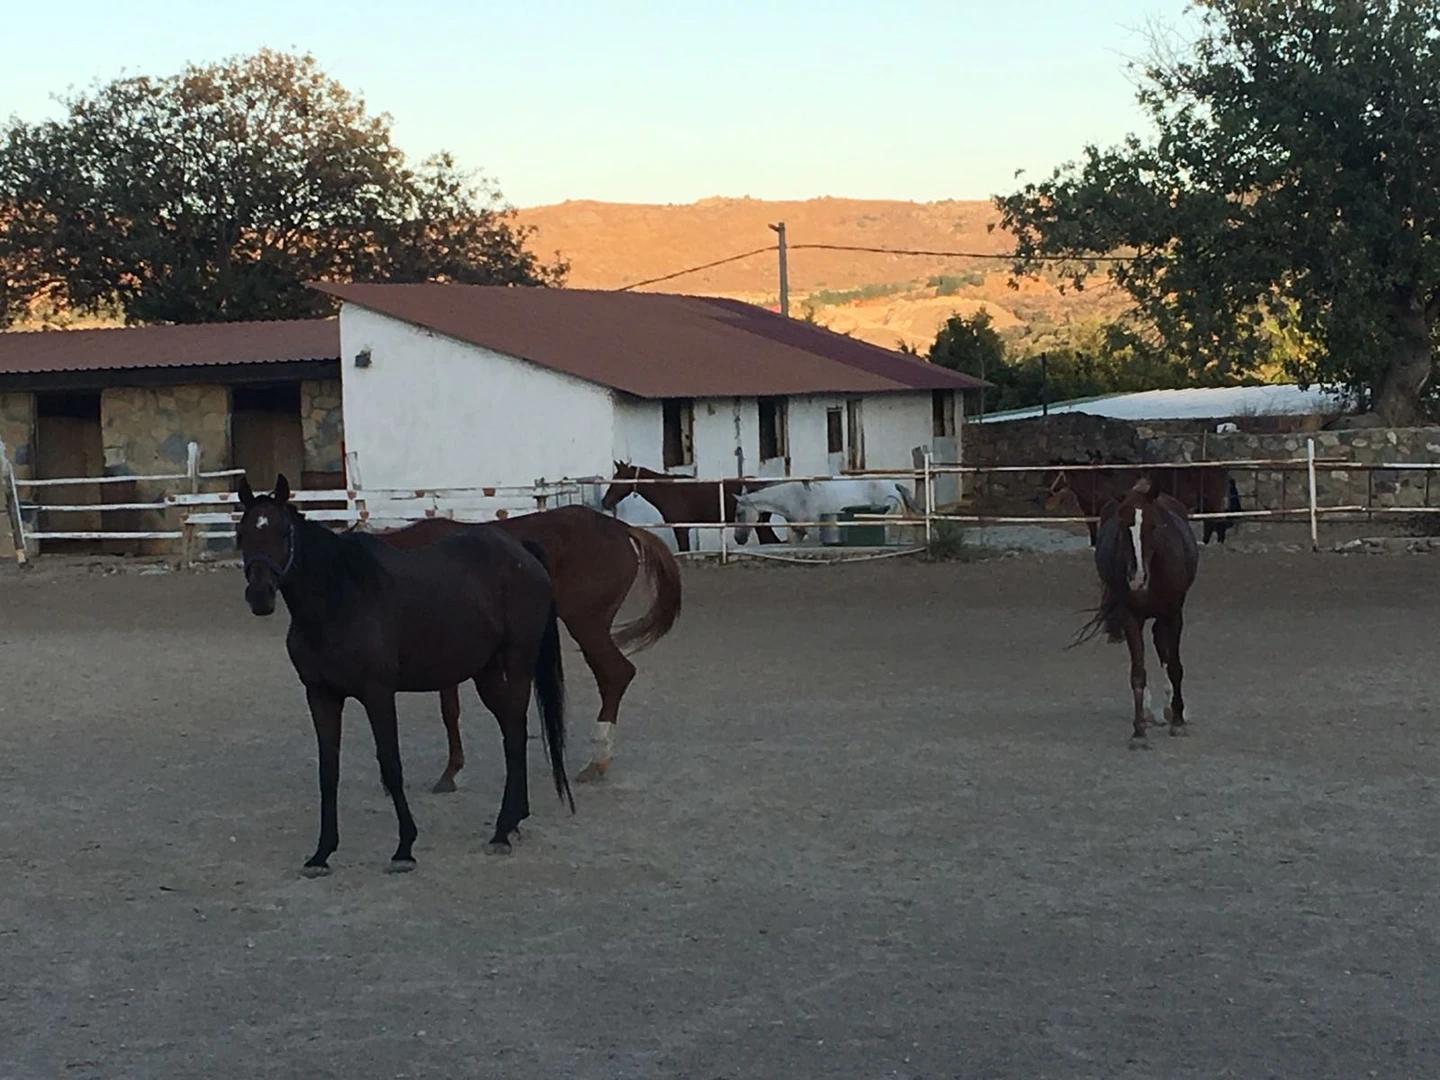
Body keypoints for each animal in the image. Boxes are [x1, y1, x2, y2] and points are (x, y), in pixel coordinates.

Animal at [235, 475, 572, 874]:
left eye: (283, 532)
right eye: (242, 532)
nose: (260, 596)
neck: (339, 600)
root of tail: (523, 554)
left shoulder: (378, 693)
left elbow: (391, 765)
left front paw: (404, 848)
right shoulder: (321, 695)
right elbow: (328, 772)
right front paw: (322, 852)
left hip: (518, 664)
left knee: (516, 735)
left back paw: (502, 831)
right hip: (486, 673)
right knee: (511, 730)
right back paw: (515, 819)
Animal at [368, 505, 682, 787]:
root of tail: (620, 528)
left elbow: (450, 711)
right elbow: (450, 710)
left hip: (586, 623)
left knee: (615, 675)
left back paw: (597, 759)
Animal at [733, 478, 919, 544]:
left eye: (739, 513)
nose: (738, 539)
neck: (795, 497)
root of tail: (893, 484)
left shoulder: (814, 532)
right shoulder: (797, 533)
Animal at [1071, 478, 1200, 746]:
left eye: (1153, 525)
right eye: (1122, 526)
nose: (1137, 578)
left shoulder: (1174, 614)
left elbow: (1175, 666)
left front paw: (1178, 721)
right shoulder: (1130, 616)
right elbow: (1138, 673)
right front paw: (1139, 731)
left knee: (1162, 646)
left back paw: (1170, 710)